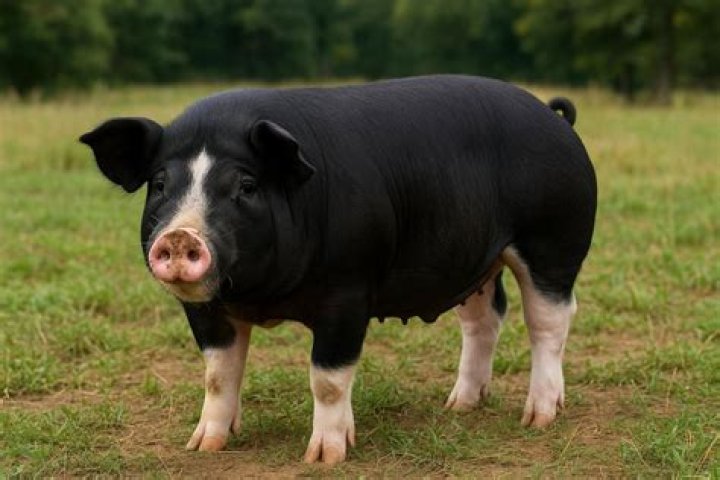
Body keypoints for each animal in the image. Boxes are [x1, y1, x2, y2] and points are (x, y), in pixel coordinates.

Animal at [80, 75, 597, 465]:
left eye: (246, 185)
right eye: (160, 184)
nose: (180, 236)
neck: (261, 296)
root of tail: (554, 117)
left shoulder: (349, 292)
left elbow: (327, 379)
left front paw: (325, 457)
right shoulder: (206, 309)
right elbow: (218, 374)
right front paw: (204, 445)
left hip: (554, 240)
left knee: (550, 321)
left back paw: (538, 417)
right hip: (476, 261)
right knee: (484, 320)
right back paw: (459, 406)